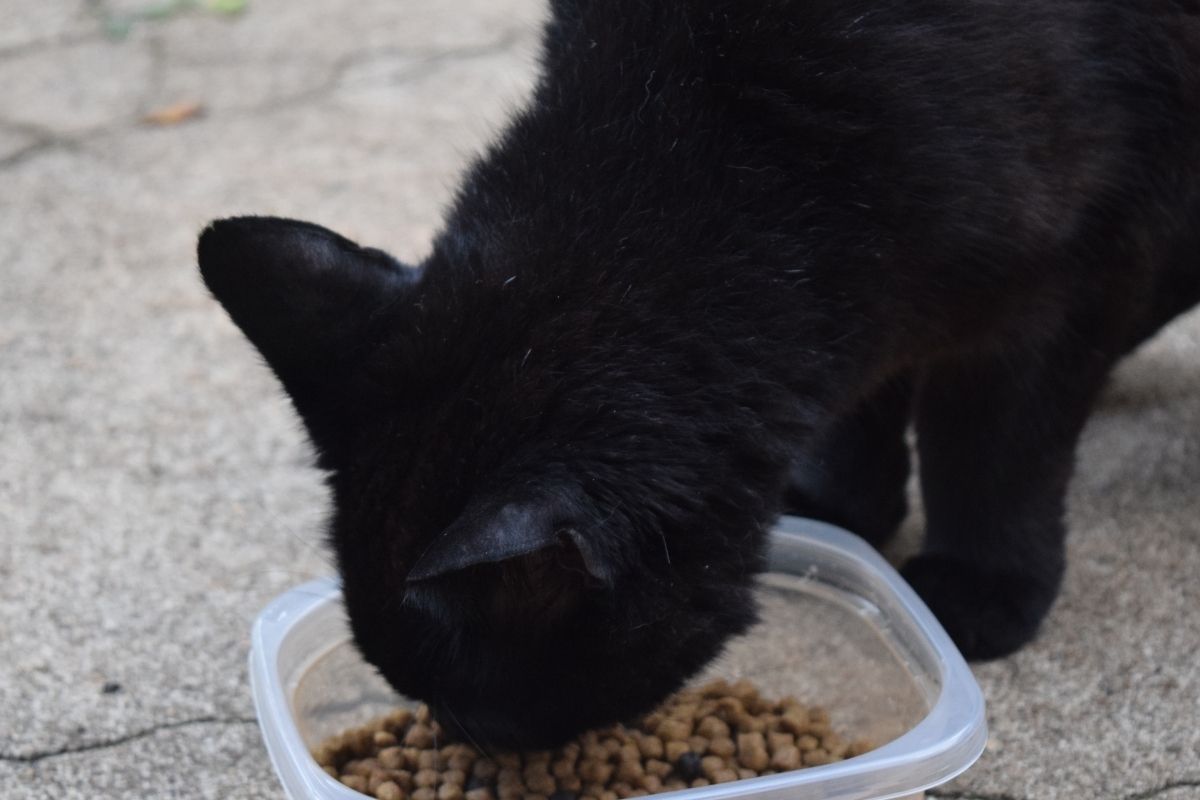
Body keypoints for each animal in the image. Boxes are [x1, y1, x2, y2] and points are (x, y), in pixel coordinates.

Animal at [199, 1, 1200, 753]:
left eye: (479, 704)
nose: (464, 741)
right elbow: (863, 402)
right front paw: (844, 509)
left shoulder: (1076, 271)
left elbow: (994, 447)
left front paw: (979, 583)